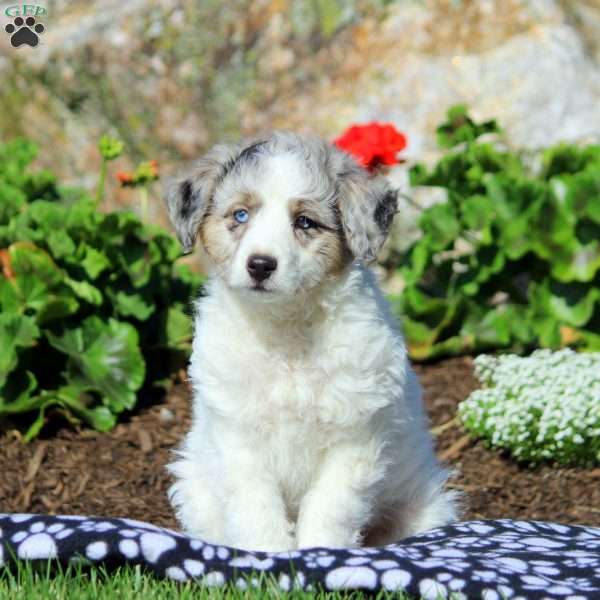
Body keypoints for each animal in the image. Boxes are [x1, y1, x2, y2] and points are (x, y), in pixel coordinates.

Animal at [166, 132, 458, 552]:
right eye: (241, 216)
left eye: (305, 222)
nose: (260, 265)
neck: (285, 330)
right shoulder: (238, 434)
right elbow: (255, 504)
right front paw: (268, 555)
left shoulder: (355, 434)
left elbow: (330, 506)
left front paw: (320, 553)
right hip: (196, 488)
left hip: (422, 504)